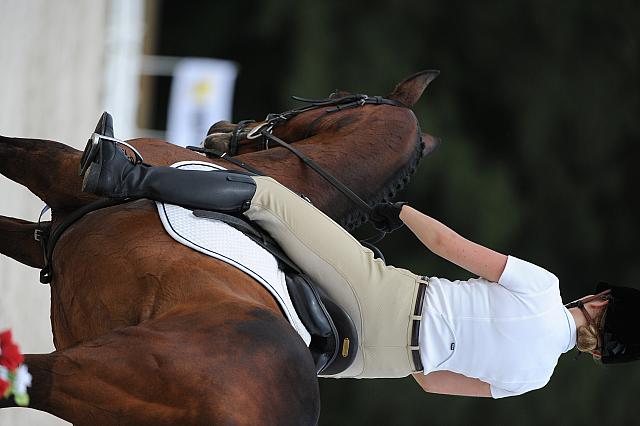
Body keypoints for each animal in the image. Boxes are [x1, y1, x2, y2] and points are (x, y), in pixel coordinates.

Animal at [0, 71, 440, 424]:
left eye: (335, 94)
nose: (222, 126)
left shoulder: (58, 173)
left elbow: (13, 148)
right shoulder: (40, 239)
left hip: (96, 368)